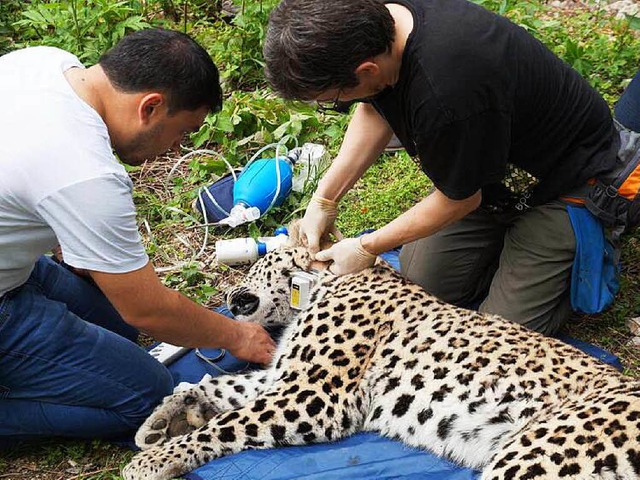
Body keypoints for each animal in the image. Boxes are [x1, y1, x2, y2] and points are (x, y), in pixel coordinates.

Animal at [122, 238, 640, 478]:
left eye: (253, 265)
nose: (229, 295)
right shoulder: (285, 379)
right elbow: (212, 387)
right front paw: (162, 421)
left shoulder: (313, 394)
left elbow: (228, 423)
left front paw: (153, 460)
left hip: (532, 458)